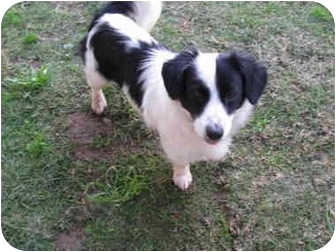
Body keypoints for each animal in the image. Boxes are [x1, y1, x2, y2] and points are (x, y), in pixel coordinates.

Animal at [79, 0, 268, 190]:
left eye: (231, 94)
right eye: (197, 94)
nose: (215, 133)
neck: (188, 119)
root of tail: (106, 17)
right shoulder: (175, 143)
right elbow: (181, 161)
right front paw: (182, 176)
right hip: (97, 74)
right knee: (95, 86)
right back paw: (98, 102)